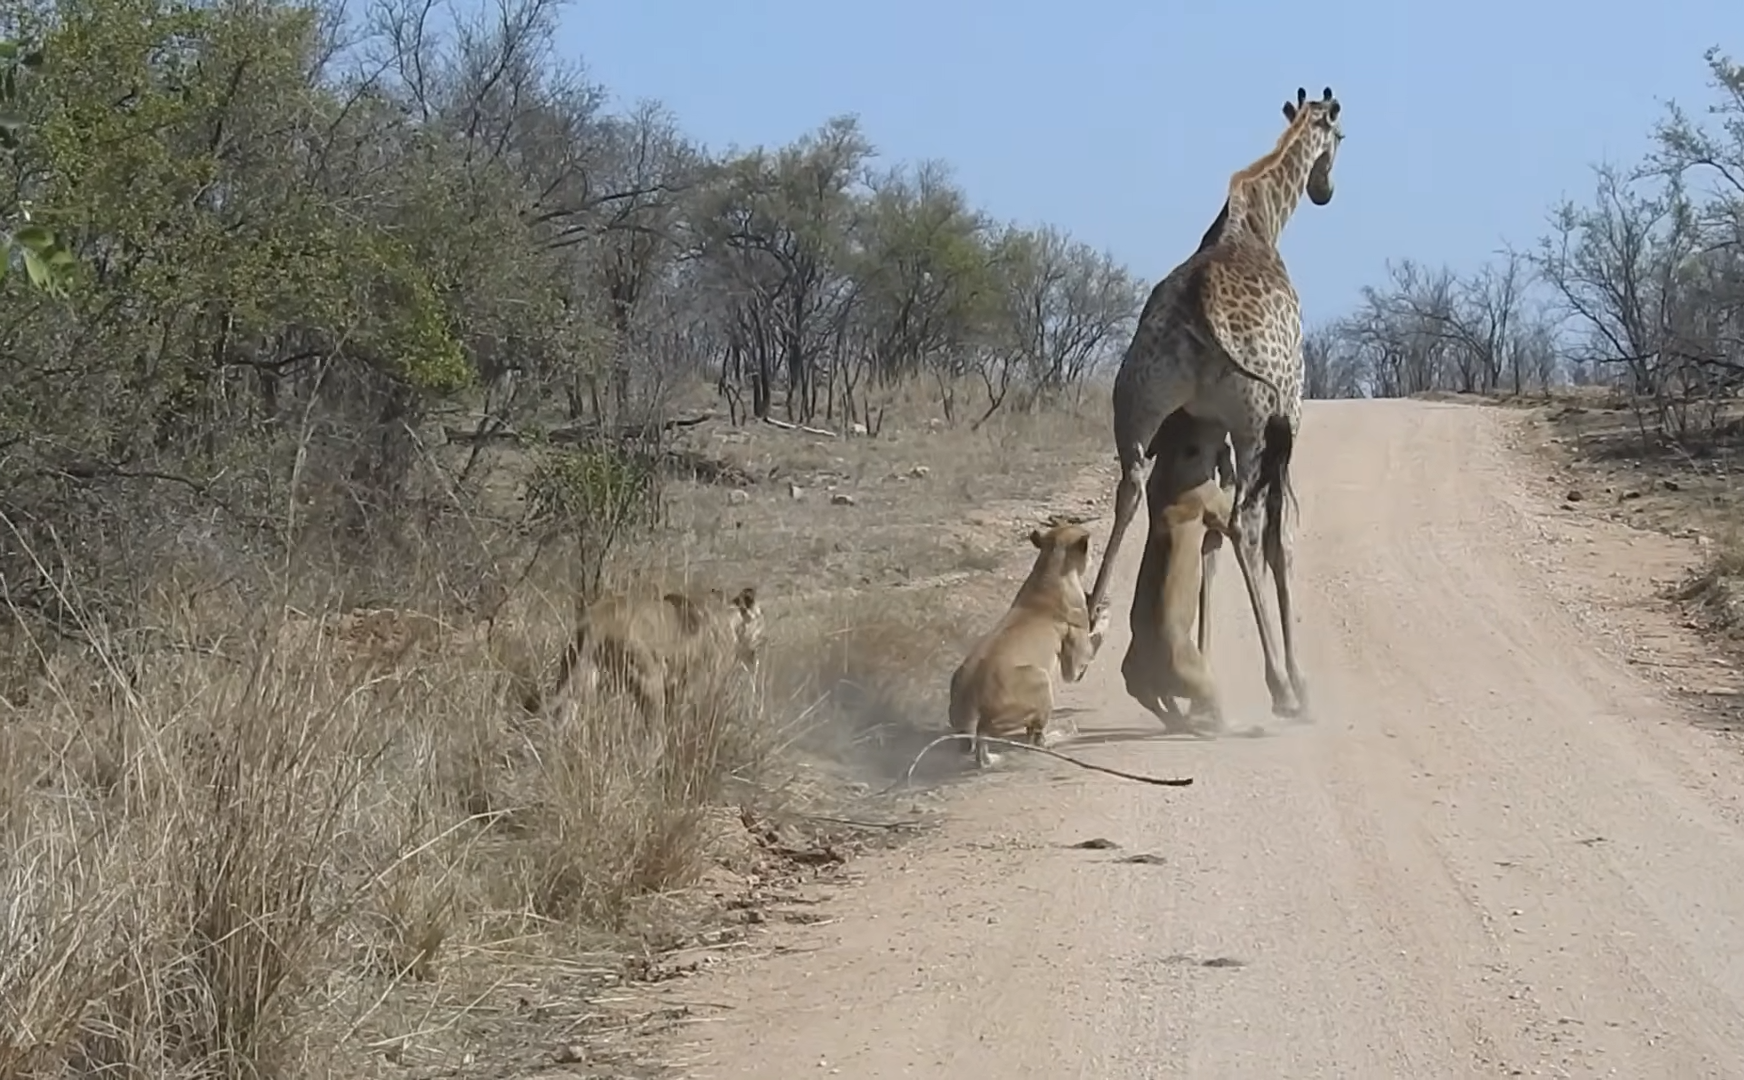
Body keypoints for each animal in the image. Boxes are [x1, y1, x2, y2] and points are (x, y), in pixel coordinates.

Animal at [948, 523, 1109, 767]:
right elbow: (1093, 643)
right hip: (1039, 680)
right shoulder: (1072, 662)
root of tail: (971, 699)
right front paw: (1103, 616)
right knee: (1035, 740)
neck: (1051, 568)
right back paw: (1064, 733)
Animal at [1088, 88, 1346, 722]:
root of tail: (1197, 305)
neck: (1259, 221)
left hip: (1137, 406)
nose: (1325, 190)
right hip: (1256, 421)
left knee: (1130, 493)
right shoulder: (1287, 415)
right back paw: (1281, 687)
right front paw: (1295, 681)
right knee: (1245, 527)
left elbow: (1203, 539)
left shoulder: (1206, 429)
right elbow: (1277, 539)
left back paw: (1086, 631)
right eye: (1342, 136)